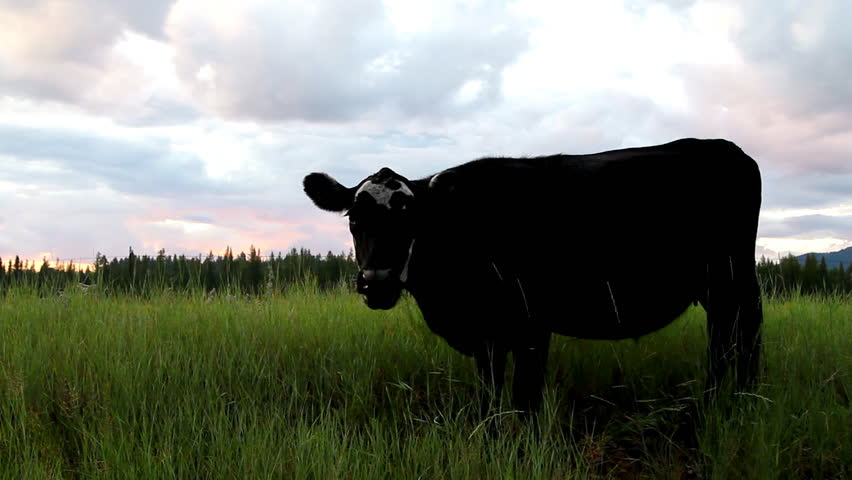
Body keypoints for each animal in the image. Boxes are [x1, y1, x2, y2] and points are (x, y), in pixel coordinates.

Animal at [303, 138, 763, 414]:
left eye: (412, 218)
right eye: (353, 219)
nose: (376, 280)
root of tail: (727, 148)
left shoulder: (531, 325)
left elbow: (525, 401)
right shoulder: (487, 336)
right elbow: (490, 398)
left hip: (731, 280)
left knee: (739, 343)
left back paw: (733, 404)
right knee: (727, 343)